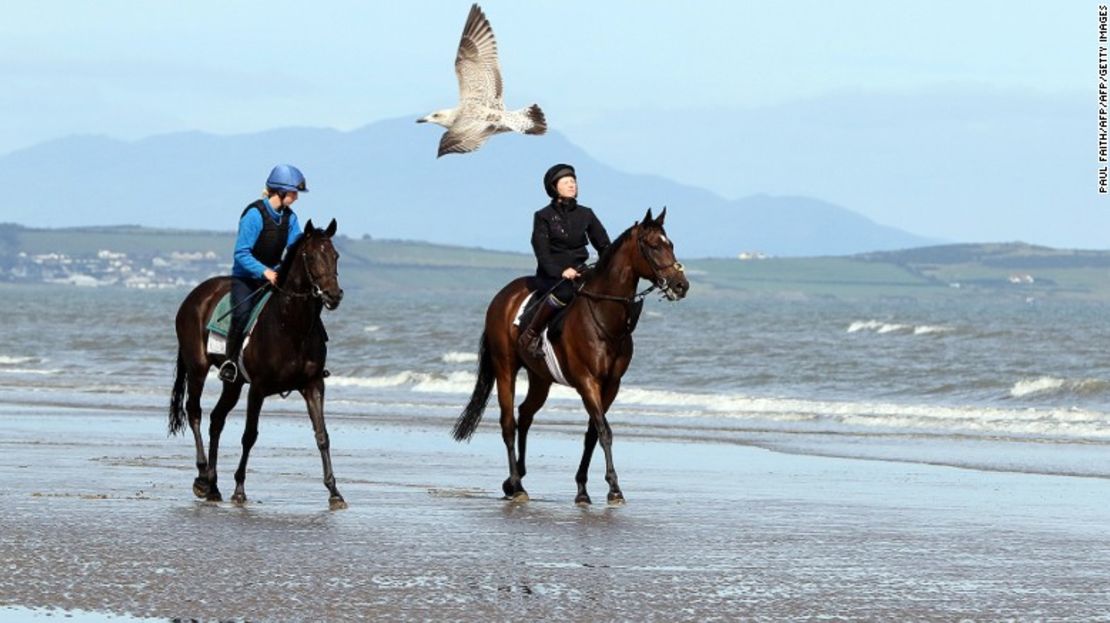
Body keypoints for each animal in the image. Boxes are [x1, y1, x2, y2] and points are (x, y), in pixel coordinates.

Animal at [165, 219, 341, 510]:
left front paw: (334, 492)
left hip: (234, 383)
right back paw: (202, 477)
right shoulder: (258, 388)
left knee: (216, 419)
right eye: (312, 256)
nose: (333, 295)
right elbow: (249, 435)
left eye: (335, 256)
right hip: (197, 368)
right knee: (195, 412)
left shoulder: (313, 384)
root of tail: (195, 295)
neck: (292, 326)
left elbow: (322, 435)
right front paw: (239, 490)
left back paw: (213, 486)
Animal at [450, 208, 683, 506]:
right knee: (508, 423)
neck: (604, 318)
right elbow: (604, 431)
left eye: (670, 244)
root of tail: (502, 297)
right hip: (505, 369)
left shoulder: (611, 385)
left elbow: (593, 433)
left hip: (540, 378)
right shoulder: (587, 381)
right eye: (653, 246)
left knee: (525, 414)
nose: (681, 285)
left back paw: (516, 479)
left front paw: (583, 490)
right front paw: (614, 489)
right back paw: (517, 485)